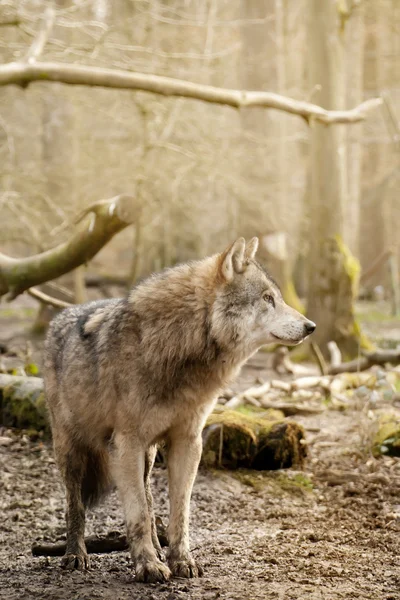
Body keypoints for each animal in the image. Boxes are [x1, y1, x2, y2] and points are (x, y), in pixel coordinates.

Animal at [43, 238, 316, 580]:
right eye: (268, 298)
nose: (311, 326)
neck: (182, 344)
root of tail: (61, 315)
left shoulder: (188, 441)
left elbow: (178, 511)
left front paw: (180, 560)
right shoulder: (126, 443)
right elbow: (136, 514)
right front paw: (148, 565)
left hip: (146, 455)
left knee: (147, 498)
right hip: (72, 451)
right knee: (75, 505)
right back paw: (75, 555)